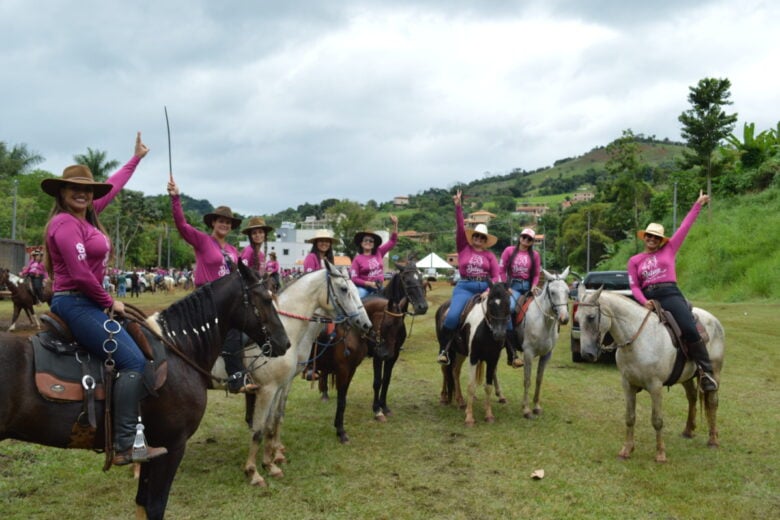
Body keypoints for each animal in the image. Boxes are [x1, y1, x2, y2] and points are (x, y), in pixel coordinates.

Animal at [0, 264, 290, 520]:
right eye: (266, 298)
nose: (284, 342)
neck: (178, 348)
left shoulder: (152, 449)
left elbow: (142, 503)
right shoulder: (172, 445)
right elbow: (155, 506)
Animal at [212, 260, 374, 488]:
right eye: (344, 289)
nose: (366, 324)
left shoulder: (281, 385)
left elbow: (273, 421)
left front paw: (271, 462)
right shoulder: (267, 389)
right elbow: (259, 429)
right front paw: (253, 472)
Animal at [508, 268, 568, 418]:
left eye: (568, 291)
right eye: (552, 292)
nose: (564, 318)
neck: (543, 323)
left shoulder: (546, 354)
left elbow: (539, 380)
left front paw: (536, 406)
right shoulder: (528, 354)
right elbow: (527, 379)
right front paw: (526, 409)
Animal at [576, 288, 728, 464]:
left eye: (591, 317)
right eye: (577, 318)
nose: (587, 354)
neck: (638, 340)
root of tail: (713, 319)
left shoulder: (655, 387)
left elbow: (657, 420)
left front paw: (660, 454)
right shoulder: (627, 384)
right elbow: (630, 417)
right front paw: (626, 450)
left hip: (715, 372)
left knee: (712, 402)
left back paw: (713, 440)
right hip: (687, 377)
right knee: (692, 398)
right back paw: (688, 431)